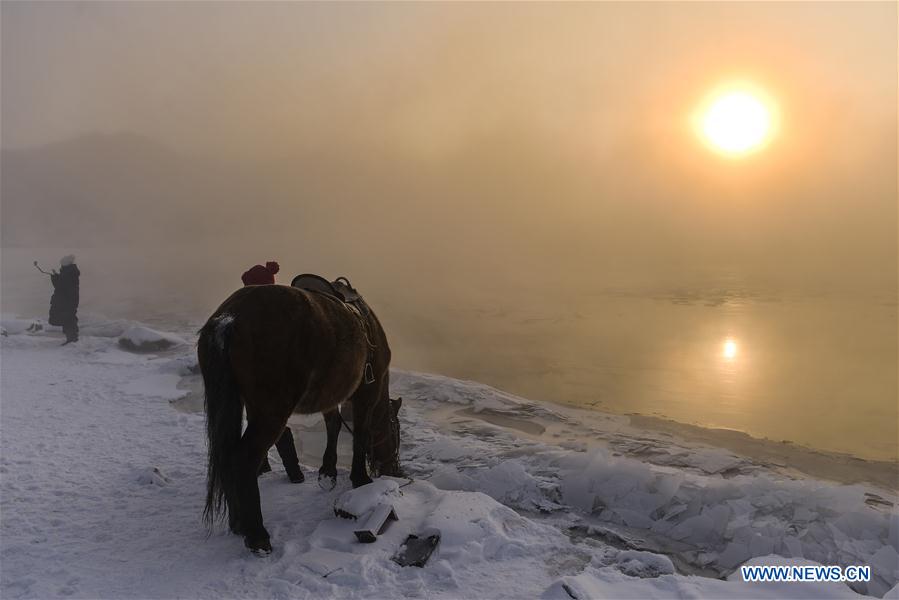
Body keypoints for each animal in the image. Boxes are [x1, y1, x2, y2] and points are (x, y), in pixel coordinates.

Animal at [200, 284, 404, 556]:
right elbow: (360, 434)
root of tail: (230, 318)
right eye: (396, 433)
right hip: (271, 414)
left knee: (226, 456)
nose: (395, 469)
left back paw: (238, 523)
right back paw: (257, 535)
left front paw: (328, 471)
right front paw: (360, 479)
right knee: (242, 459)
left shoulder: (331, 394)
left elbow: (333, 423)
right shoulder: (365, 394)